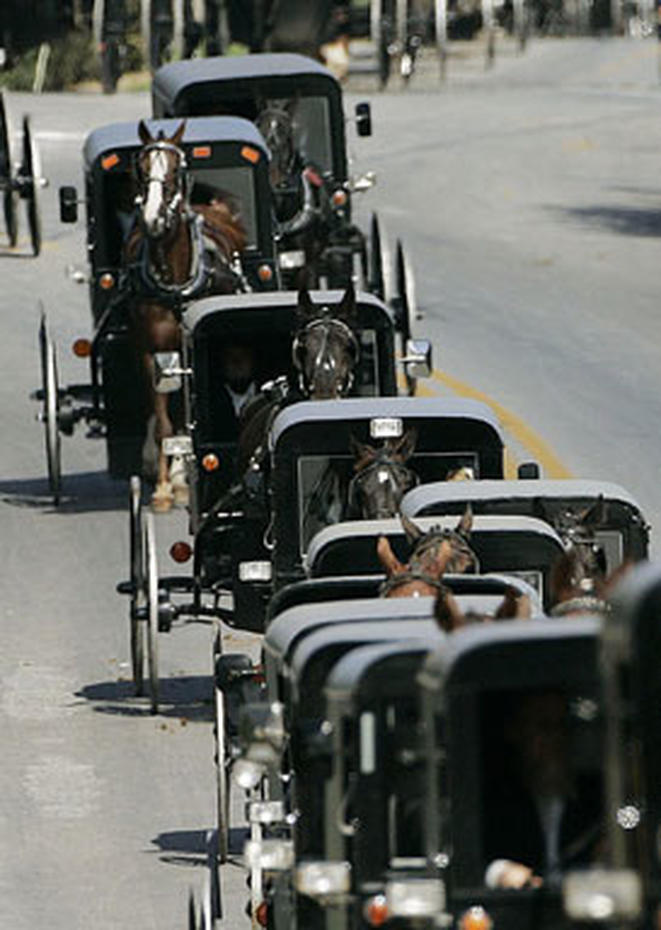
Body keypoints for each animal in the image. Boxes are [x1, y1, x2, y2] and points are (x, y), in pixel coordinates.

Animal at [125, 119, 246, 512]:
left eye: (176, 169)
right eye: (141, 167)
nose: (153, 218)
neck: (175, 282)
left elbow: (184, 418)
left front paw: (178, 482)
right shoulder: (150, 353)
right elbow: (166, 422)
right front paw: (164, 487)